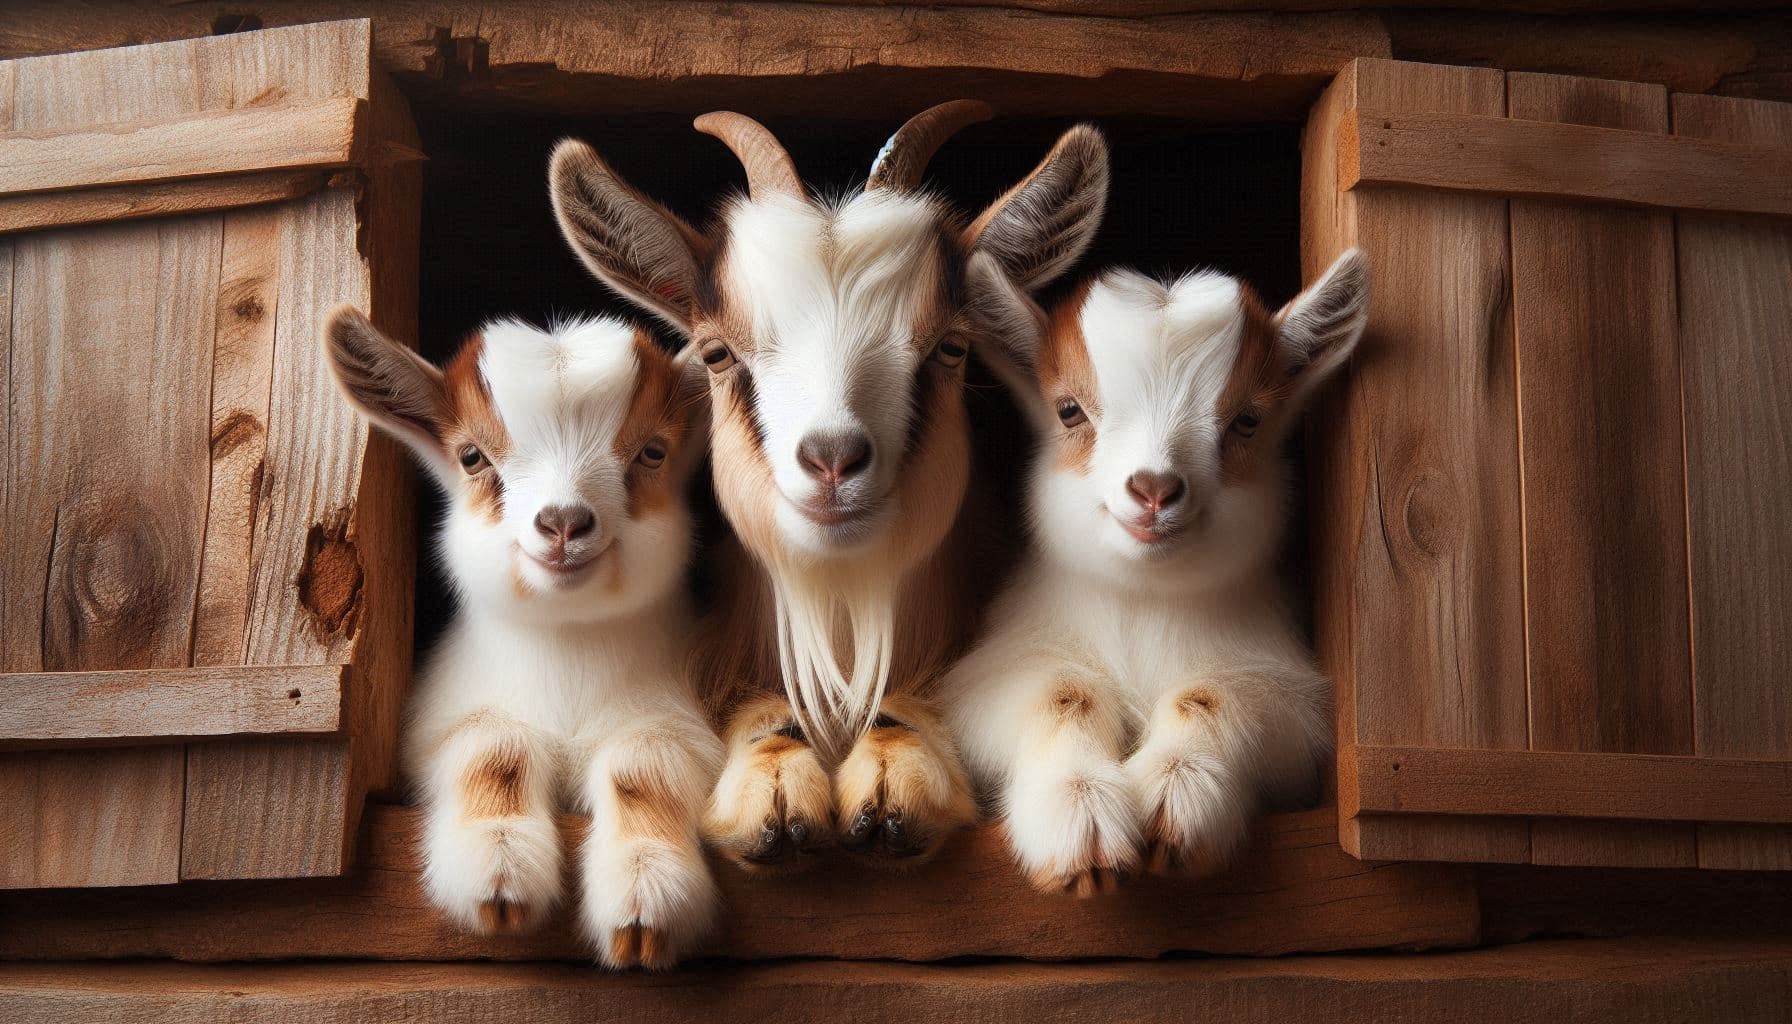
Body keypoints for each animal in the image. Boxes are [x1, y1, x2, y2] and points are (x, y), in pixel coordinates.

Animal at [322, 307, 719, 968]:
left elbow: (642, 765)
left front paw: (646, 894)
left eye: (653, 451)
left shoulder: (684, 725)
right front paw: (497, 867)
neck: (566, 641)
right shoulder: (439, 726)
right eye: (472, 456)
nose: (563, 522)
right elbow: (495, 746)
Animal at [941, 251, 1369, 894]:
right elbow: (1061, 693)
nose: (1154, 489)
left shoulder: (1290, 705)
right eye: (1068, 409)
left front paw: (1177, 794)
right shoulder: (994, 675)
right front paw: (1079, 811)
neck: (1143, 599)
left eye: (1247, 420)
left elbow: (1207, 695)